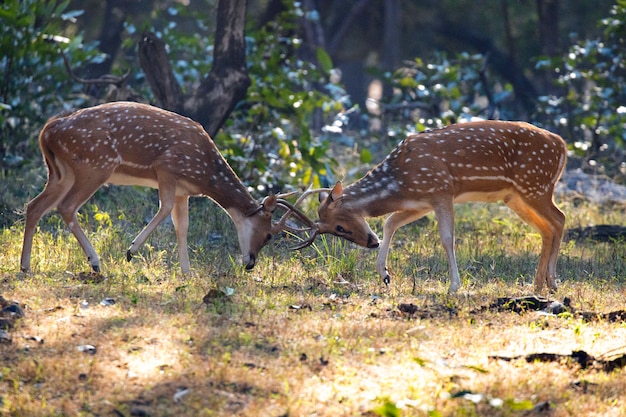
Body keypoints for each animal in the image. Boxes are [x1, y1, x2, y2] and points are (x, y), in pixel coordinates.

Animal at [20, 101, 312, 272]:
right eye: (269, 235)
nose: (250, 263)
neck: (205, 173)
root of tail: (47, 131)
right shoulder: (167, 167)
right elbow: (164, 208)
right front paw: (131, 251)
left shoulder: (184, 190)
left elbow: (182, 225)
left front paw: (186, 272)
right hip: (95, 165)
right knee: (66, 207)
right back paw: (95, 262)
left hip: (61, 173)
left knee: (34, 206)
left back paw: (25, 266)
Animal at [292, 119, 564, 292]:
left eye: (339, 226)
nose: (371, 243)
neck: (400, 182)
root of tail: (562, 144)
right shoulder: (421, 202)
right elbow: (390, 222)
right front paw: (385, 274)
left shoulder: (442, 189)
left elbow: (447, 238)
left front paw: (454, 285)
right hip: (516, 196)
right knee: (546, 228)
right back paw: (538, 284)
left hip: (535, 185)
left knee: (559, 218)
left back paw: (552, 281)